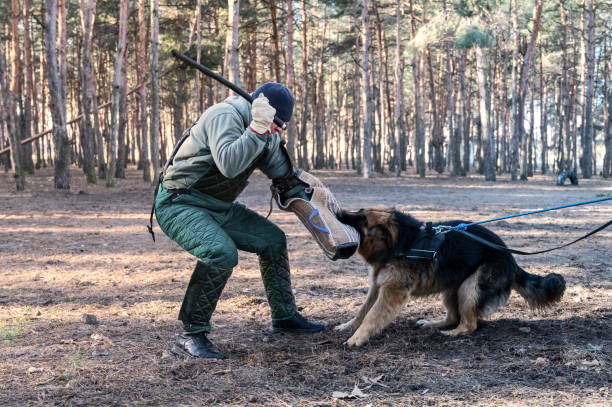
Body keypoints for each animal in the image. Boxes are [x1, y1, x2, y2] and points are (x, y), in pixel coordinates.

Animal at [334, 210, 564, 348]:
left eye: (362, 219)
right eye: (359, 213)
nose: (338, 212)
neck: (401, 243)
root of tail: (510, 258)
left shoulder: (392, 292)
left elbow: (372, 316)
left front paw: (357, 338)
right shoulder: (377, 286)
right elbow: (362, 311)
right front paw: (348, 327)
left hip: (469, 289)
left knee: (469, 325)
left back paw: (453, 334)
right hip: (452, 290)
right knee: (454, 316)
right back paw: (433, 324)